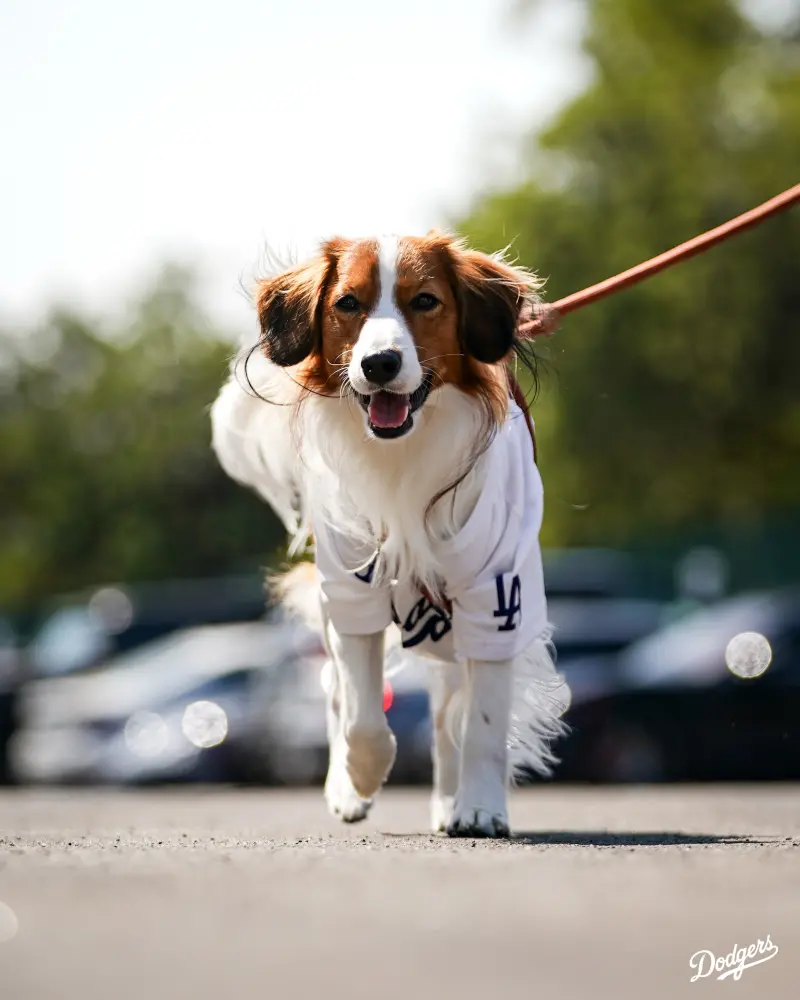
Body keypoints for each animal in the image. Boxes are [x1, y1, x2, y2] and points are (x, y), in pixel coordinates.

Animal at [209, 234, 564, 836]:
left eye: (425, 301)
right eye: (348, 303)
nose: (379, 363)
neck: (402, 453)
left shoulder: (498, 596)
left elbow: (482, 722)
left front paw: (479, 807)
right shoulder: (350, 590)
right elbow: (360, 713)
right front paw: (361, 777)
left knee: (447, 716)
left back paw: (448, 803)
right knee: (337, 693)